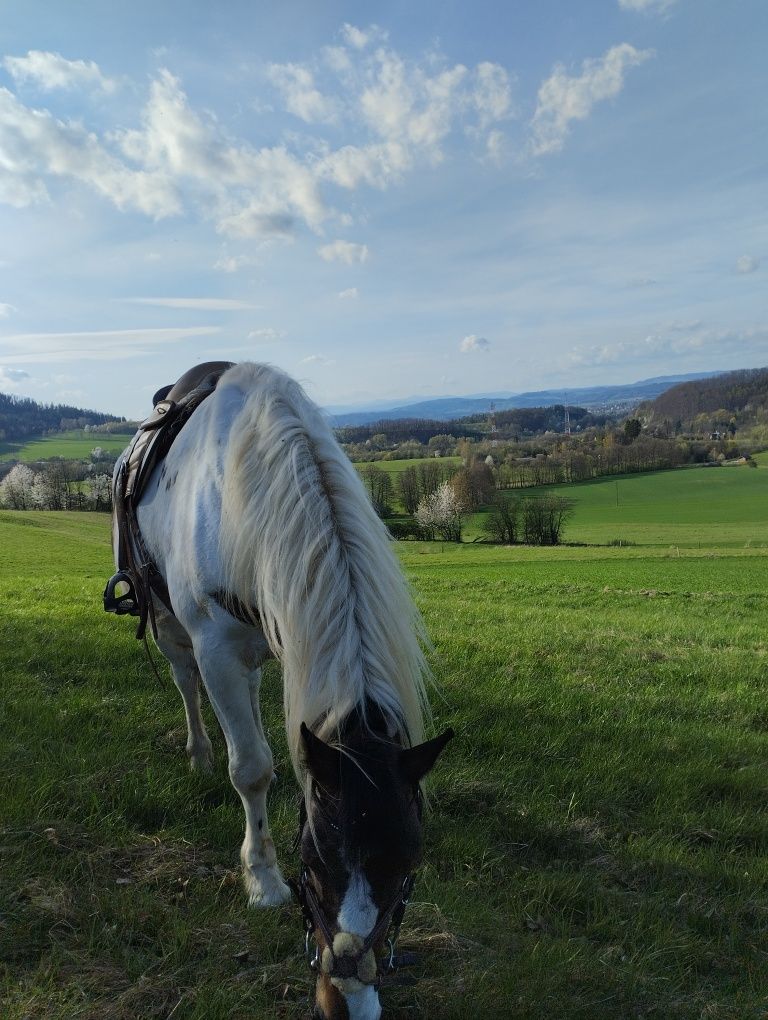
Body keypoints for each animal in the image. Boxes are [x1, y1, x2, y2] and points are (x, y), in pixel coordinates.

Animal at [116, 363, 452, 1015]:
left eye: (407, 867)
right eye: (312, 861)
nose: (347, 998)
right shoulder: (215, 646)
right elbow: (250, 768)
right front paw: (262, 880)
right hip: (169, 624)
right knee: (188, 685)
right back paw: (199, 751)